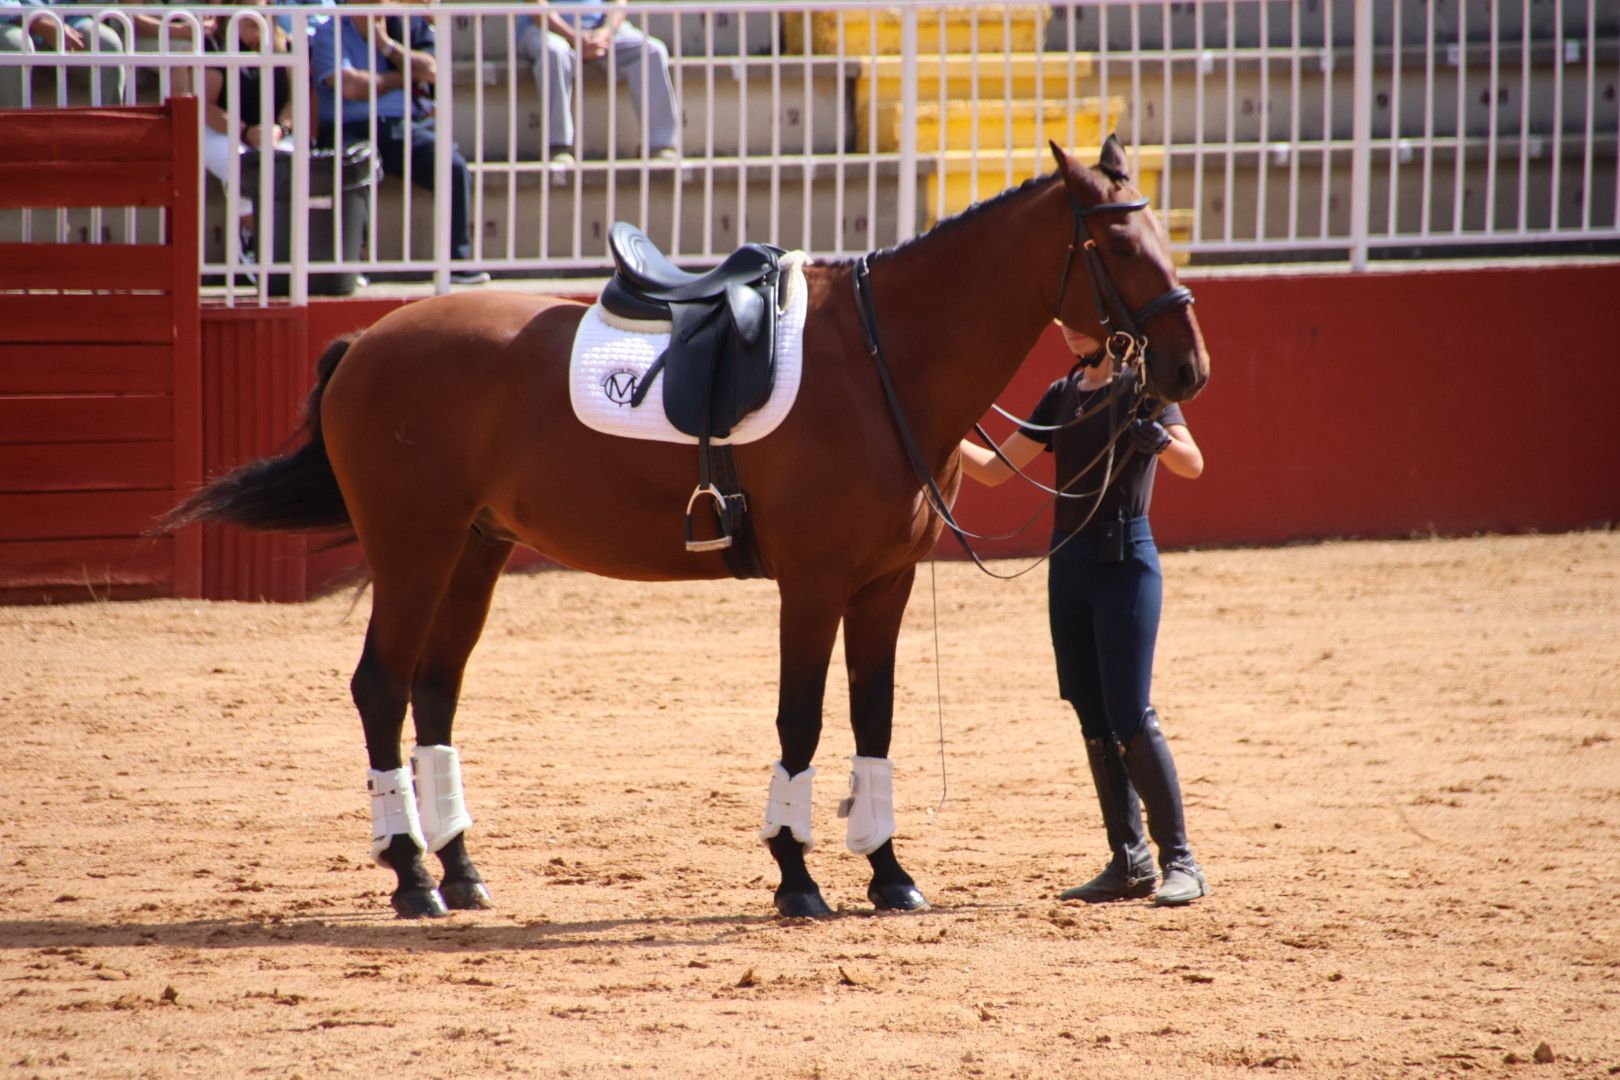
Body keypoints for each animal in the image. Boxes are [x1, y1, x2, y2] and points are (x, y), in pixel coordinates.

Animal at [164, 139, 1211, 919]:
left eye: (1164, 232)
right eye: (1121, 246)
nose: (1188, 368)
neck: (880, 363)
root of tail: (367, 343)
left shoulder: (884, 584)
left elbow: (873, 718)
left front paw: (888, 873)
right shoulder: (815, 584)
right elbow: (803, 720)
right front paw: (796, 877)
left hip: (472, 551)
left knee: (435, 692)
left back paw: (461, 872)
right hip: (413, 549)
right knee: (382, 689)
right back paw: (414, 876)